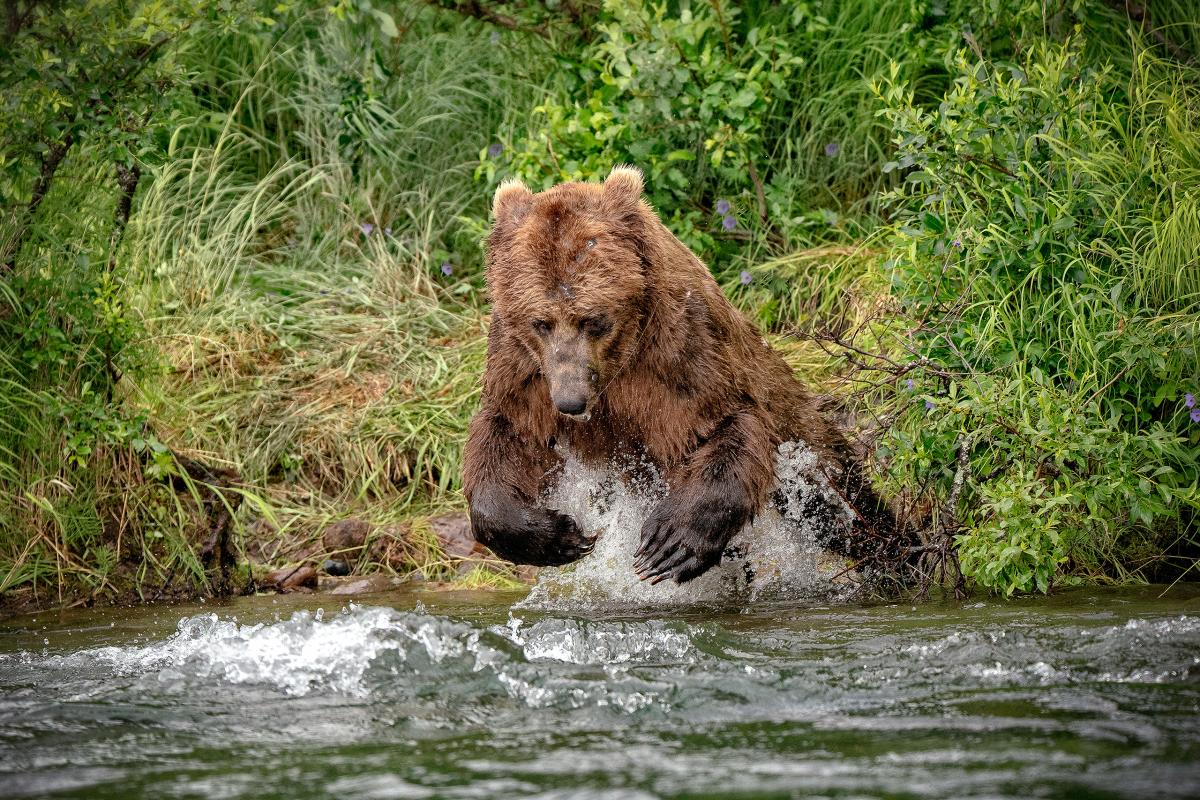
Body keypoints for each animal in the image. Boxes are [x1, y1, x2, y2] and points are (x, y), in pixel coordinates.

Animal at [463, 165, 897, 585]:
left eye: (594, 320)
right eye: (541, 322)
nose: (571, 401)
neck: (618, 367)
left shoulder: (682, 351)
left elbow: (724, 426)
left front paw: (669, 544)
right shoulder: (524, 373)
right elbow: (508, 439)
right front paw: (559, 536)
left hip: (800, 434)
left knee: (840, 502)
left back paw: (893, 556)